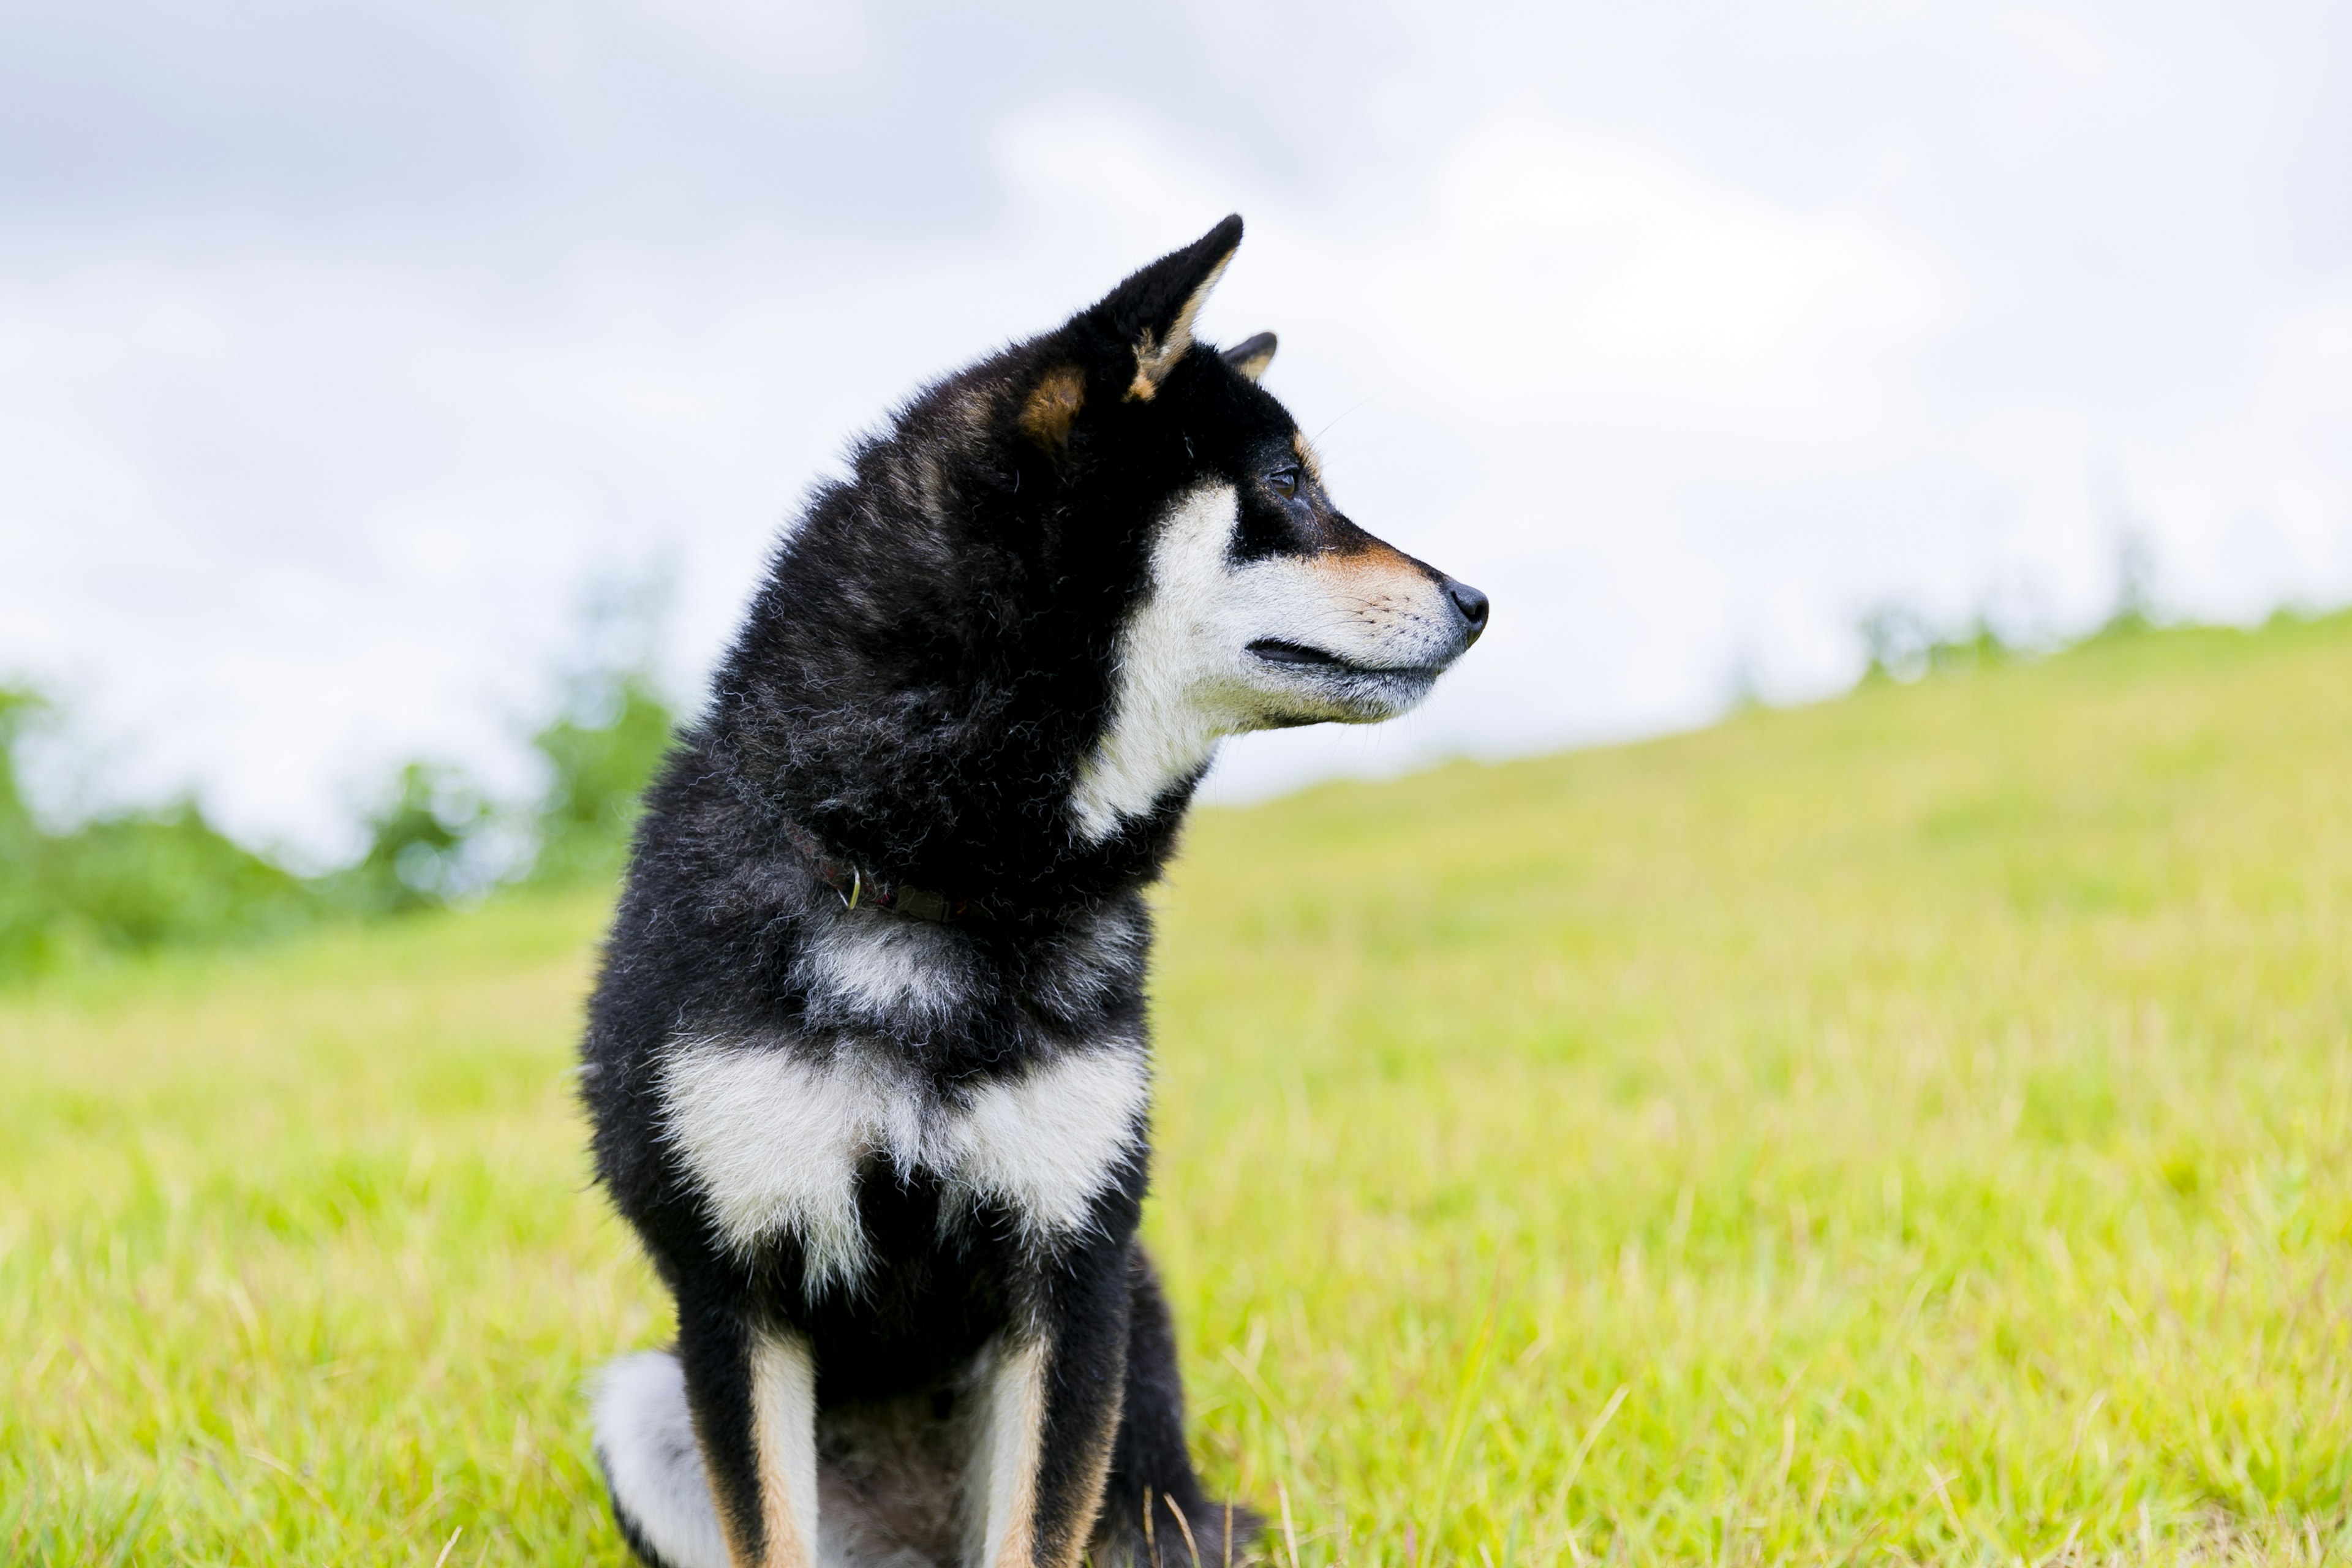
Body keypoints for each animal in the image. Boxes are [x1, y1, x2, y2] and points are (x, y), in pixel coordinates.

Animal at [576, 217, 1477, 1568]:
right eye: (1287, 482)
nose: (1478, 600)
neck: (932, 880)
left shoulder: (1071, 1271)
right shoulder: (737, 1281)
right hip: (644, 1402)